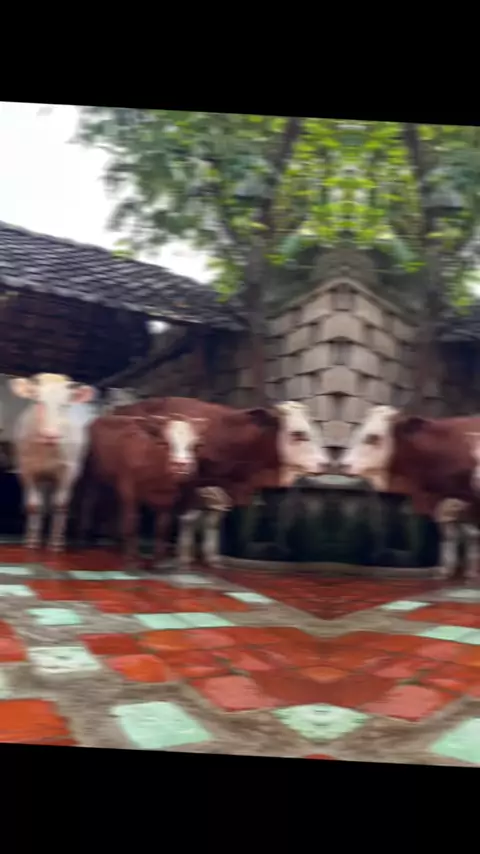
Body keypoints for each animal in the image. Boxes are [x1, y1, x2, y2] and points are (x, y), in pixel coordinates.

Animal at [10, 373, 96, 551]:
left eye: (65, 405)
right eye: (38, 401)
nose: (51, 435)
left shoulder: (69, 470)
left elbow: (60, 504)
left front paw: (56, 542)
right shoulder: (26, 469)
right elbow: (33, 505)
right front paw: (32, 541)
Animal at [83, 412, 206, 570]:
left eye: (195, 445)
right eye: (164, 443)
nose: (181, 465)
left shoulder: (167, 498)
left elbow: (161, 528)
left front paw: (158, 560)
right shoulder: (128, 490)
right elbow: (132, 522)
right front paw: (131, 559)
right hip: (91, 475)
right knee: (89, 501)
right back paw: (86, 536)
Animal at [111, 396, 331, 569]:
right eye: (298, 433)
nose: (325, 463)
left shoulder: (216, 486)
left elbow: (214, 518)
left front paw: (211, 557)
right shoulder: (189, 483)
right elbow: (189, 517)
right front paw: (183, 557)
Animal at [338, 405, 480, 578]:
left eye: (373, 437)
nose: (344, 465)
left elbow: (470, 534)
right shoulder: (448, 502)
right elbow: (453, 533)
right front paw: (447, 570)